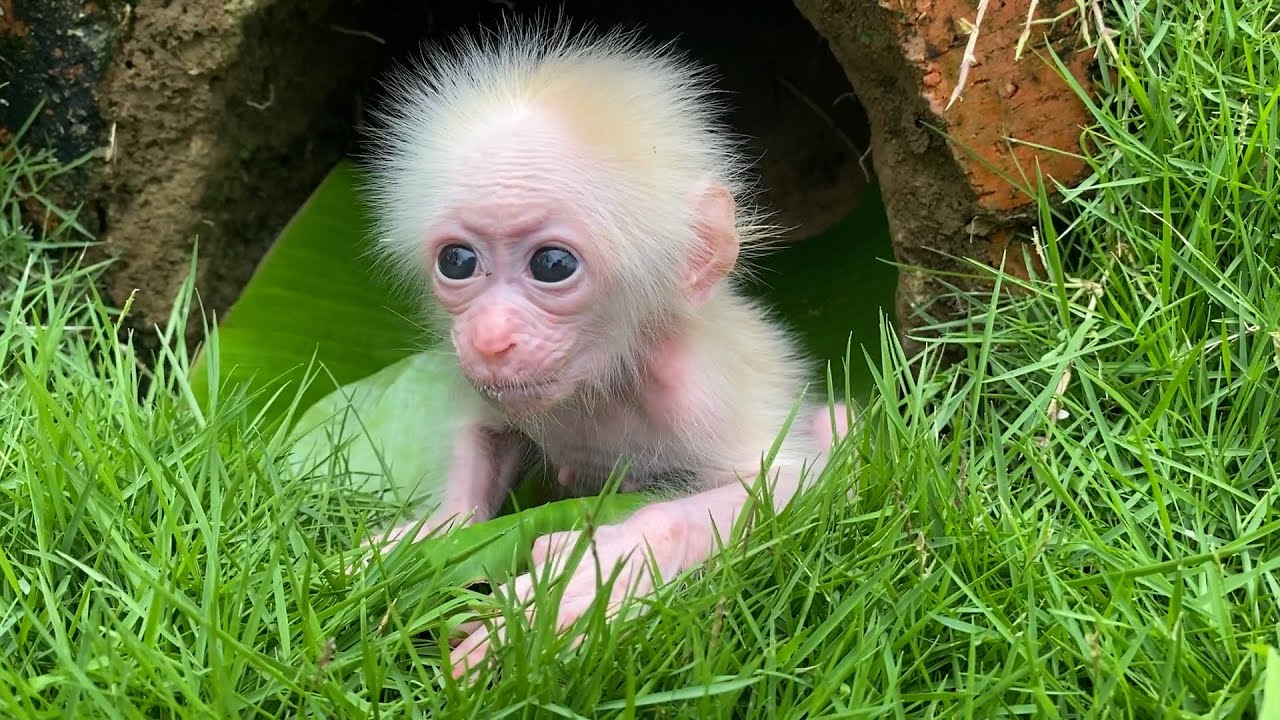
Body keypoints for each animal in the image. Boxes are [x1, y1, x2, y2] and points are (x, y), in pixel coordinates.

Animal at [359, 18, 853, 677]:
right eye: (457, 261)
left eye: (552, 265)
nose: (490, 338)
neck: (603, 376)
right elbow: (482, 434)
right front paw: (436, 531)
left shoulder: (695, 386)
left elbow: (799, 484)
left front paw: (594, 579)